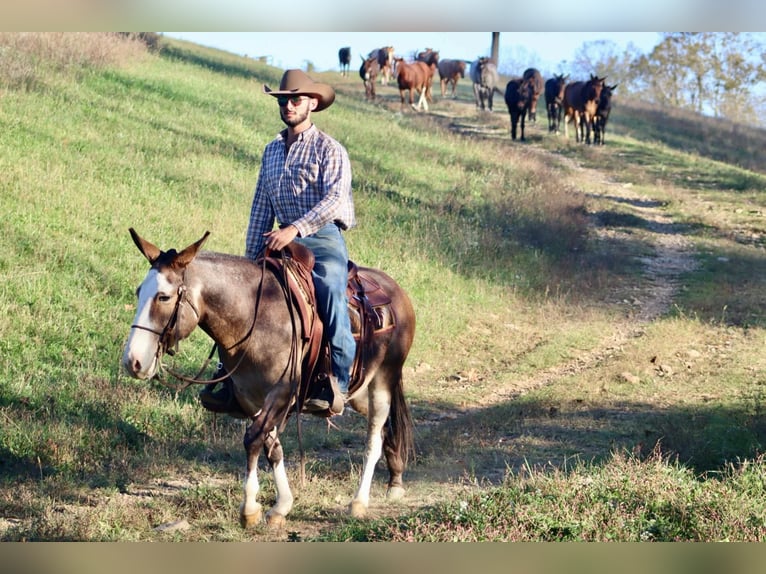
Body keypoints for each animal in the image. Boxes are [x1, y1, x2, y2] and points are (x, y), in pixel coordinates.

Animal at [122, 228, 416, 532]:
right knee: (385, 430)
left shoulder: (281, 393)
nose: (133, 361)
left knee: (373, 437)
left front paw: (249, 509)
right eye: (139, 292)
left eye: (163, 297)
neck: (257, 315)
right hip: (359, 392)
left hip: (383, 379)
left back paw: (359, 502)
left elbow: (252, 439)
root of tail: (396, 291)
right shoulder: (251, 398)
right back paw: (395, 479)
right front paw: (281, 506)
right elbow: (271, 447)